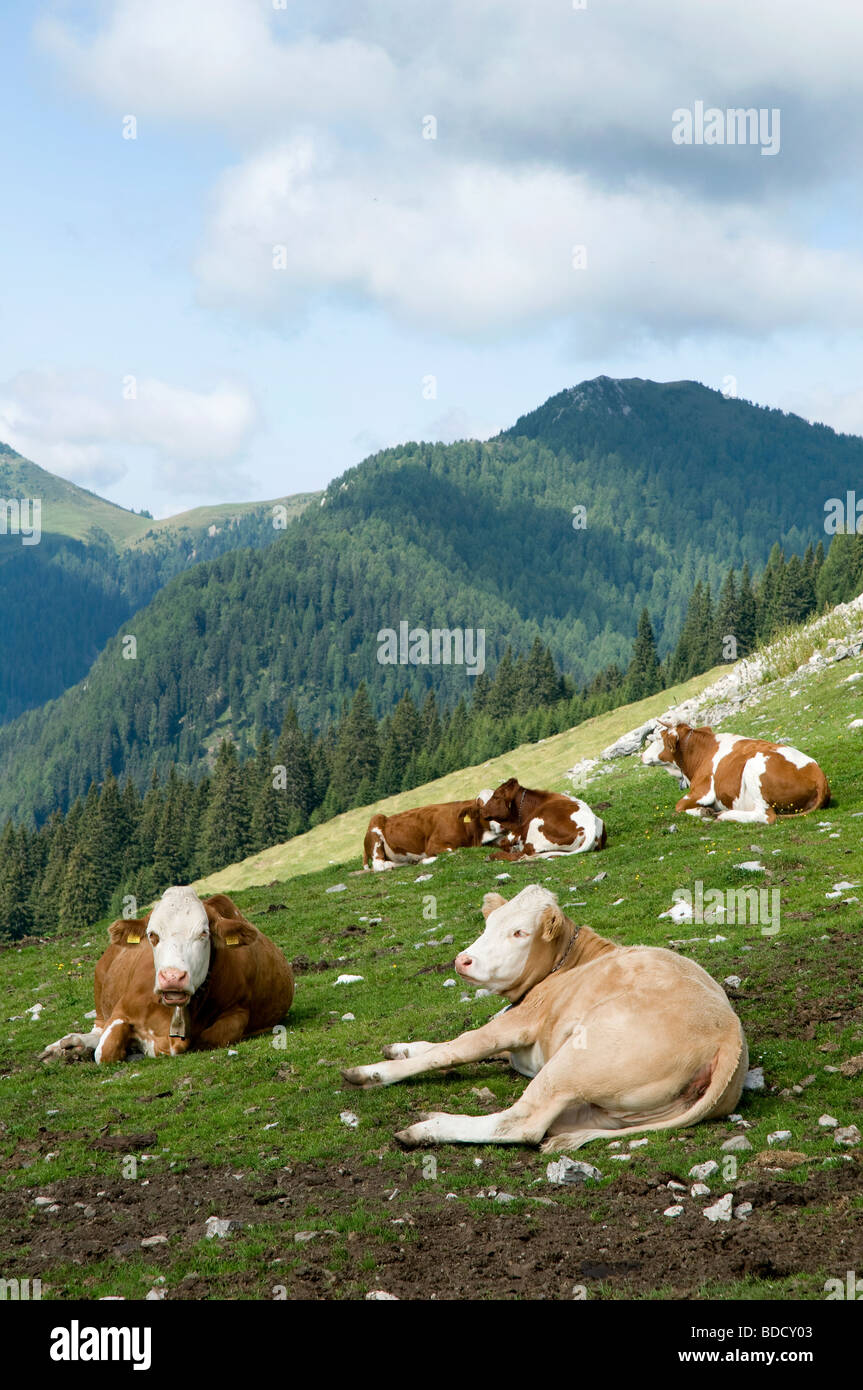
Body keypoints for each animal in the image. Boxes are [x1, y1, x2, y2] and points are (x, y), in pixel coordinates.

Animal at [40, 889, 293, 1061]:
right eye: (152, 935)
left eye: (204, 933)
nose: (172, 977)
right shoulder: (121, 1010)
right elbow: (106, 1050)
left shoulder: (238, 1011)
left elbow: (210, 1038)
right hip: (101, 990)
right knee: (97, 1031)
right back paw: (67, 1046)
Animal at [340, 889, 744, 1150]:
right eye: (487, 925)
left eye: (519, 932)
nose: (463, 960)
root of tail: (729, 1037)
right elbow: (446, 1043)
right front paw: (402, 1047)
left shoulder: (517, 1023)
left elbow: (457, 1047)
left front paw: (373, 1072)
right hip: (608, 1109)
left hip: (575, 1061)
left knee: (523, 1123)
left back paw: (428, 1128)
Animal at [639, 717, 828, 822]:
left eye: (659, 738)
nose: (641, 756)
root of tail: (819, 776)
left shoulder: (702, 791)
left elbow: (679, 806)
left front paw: (703, 810)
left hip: (753, 767)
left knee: (766, 816)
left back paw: (724, 815)